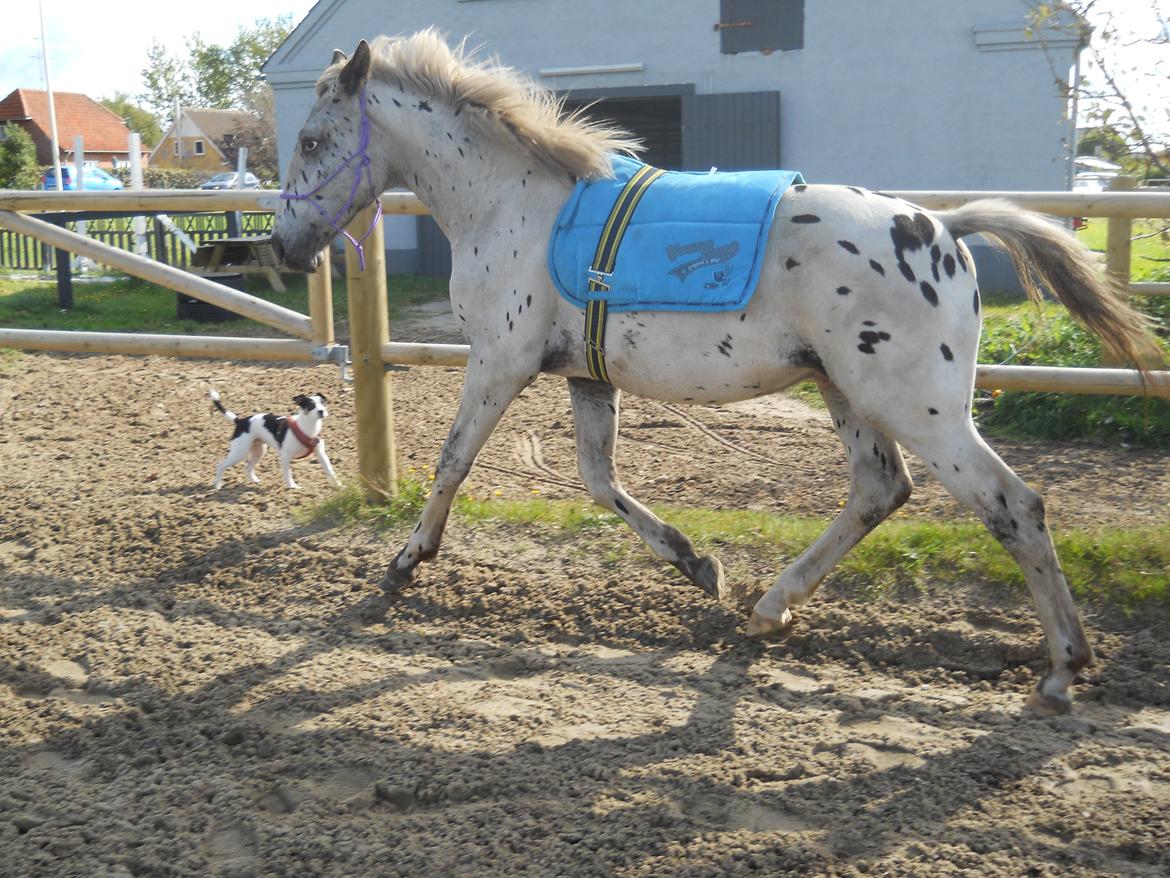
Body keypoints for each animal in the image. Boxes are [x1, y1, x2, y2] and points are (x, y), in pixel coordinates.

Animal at [209, 391, 341, 491]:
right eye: (310, 405)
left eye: (323, 403)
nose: (321, 411)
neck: (308, 427)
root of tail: (240, 421)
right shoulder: (286, 456)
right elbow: (288, 473)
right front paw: (293, 487)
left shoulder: (321, 454)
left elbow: (330, 470)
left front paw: (339, 485)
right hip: (239, 452)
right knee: (220, 466)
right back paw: (217, 485)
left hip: (259, 451)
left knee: (248, 466)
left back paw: (255, 481)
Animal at [271, 29, 1160, 716]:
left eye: (311, 140)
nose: (283, 246)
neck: (514, 205)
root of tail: (944, 226)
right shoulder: (584, 375)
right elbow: (598, 479)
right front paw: (699, 566)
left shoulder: (500, 359)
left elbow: (454, 460)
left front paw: (402, 564)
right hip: (848, 392)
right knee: (881, 491)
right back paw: (769, 610)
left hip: (918, 405)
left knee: (1014, 506)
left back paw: (1062, 670)